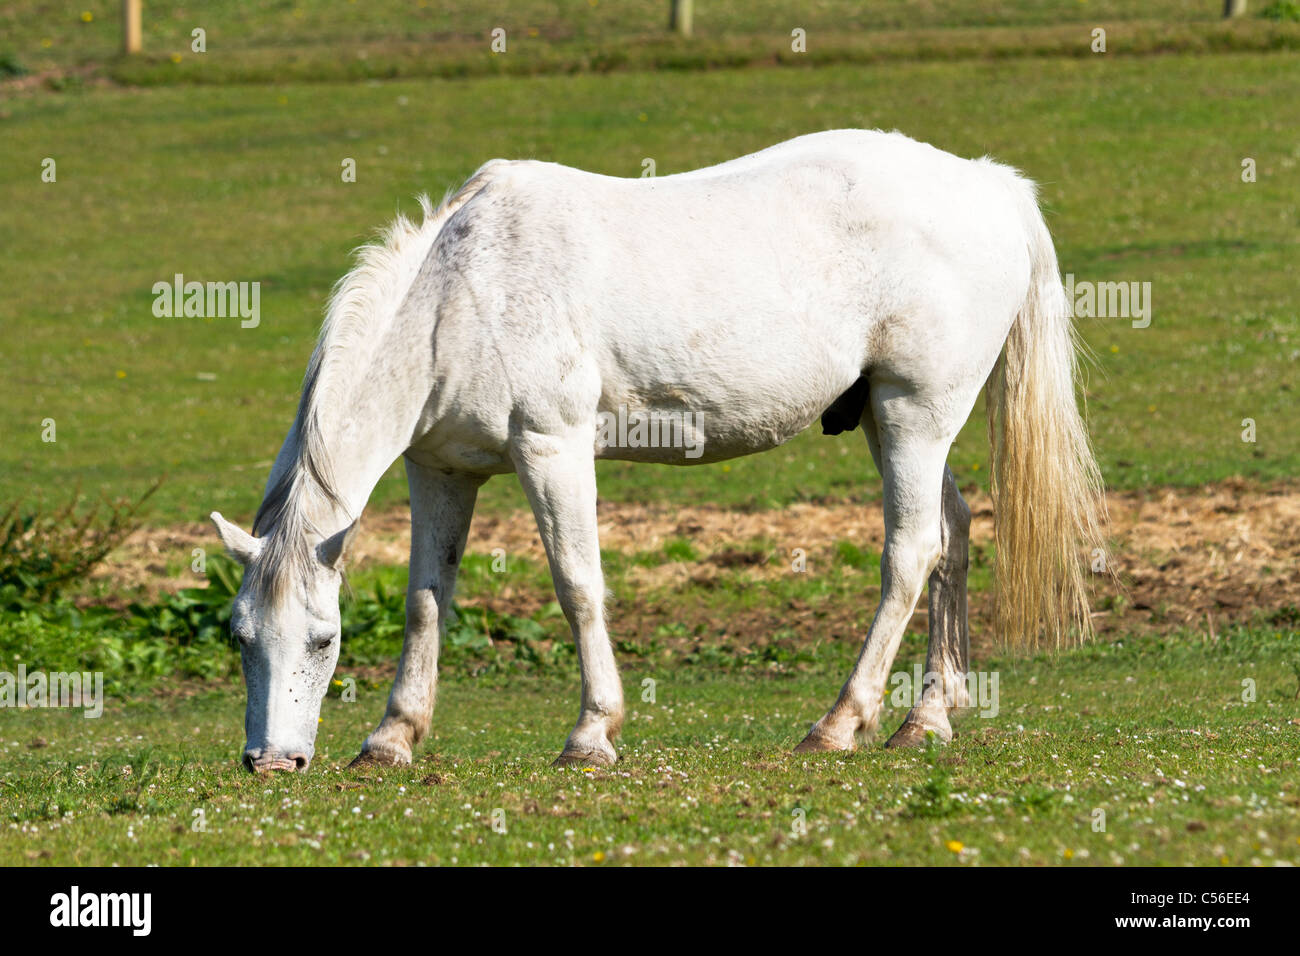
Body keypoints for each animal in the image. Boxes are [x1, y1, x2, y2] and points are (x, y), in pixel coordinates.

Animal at [210, 129, 1105, 773]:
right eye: (240, 636)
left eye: (323, 640)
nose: (270, 762)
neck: (461, 291)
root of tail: (988, 183)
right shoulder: (442, 470)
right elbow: (428, 598)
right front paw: (392, 738)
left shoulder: (552, 448)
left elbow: (578, 585)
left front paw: (591, 734)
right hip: (898, 424)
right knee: (953, 533)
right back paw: (928, 717)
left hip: (915, 413)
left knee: (911, 552)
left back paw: (841, 722)